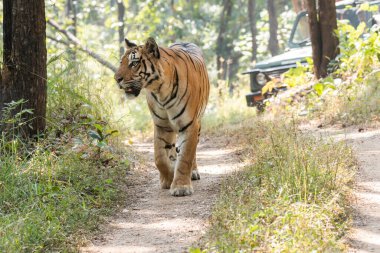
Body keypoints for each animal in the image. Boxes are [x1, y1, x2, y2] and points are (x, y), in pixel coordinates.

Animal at [115, 37, 211, 197]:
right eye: (121, 62)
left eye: (134, 63)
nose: (116, 79)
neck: (161, 91)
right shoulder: (162, 125)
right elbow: (159, 157)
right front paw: (168, 179)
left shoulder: (189, 125)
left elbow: (186, 157)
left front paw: (181, 187)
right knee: (171, 151)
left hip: (198, 124)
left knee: (193, 152)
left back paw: (193, 172)